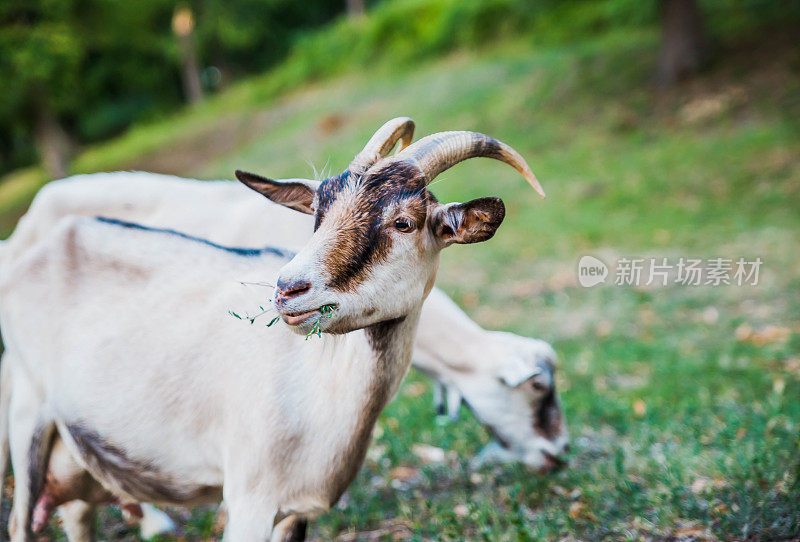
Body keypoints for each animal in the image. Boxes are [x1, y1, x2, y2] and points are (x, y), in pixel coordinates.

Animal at [0, 121, 556, 540]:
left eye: (404, 222)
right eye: (316, 215)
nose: (288, 290)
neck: (321, 390)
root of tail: (42, 242)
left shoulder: (296, 509)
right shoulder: (249, 498)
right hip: (27, 414)